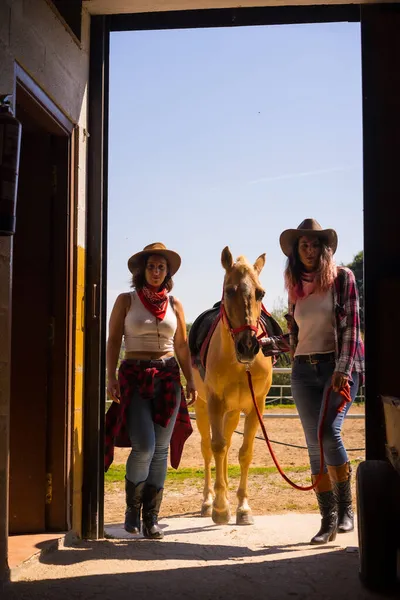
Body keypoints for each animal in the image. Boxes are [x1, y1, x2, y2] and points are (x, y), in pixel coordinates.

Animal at [192, 246, 274, 524]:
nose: (248, 346)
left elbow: (244, 452)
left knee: (227, 447)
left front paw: (242, 508)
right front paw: (219, 509)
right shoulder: (215, 402)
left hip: (233, 412)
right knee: (209, 449)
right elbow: (216, 447)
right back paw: (208, 502)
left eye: (261, 293)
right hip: (203, 407)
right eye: (229, 290)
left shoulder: (255, 407)